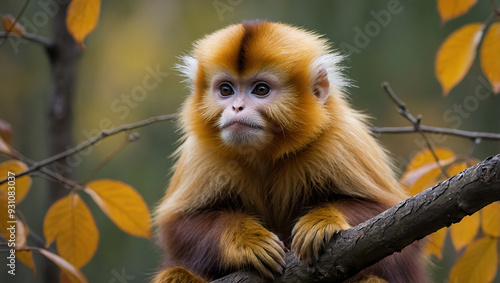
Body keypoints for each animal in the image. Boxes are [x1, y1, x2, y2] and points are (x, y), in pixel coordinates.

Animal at [152, 20, 426, 283]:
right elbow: (178, 229)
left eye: (261, 90)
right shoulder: (202, 151)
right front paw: (245, 238)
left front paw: (323, 220)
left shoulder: (341, 139)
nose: (236, 107)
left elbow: (395, 233)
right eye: (226, 90)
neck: (265, 154)